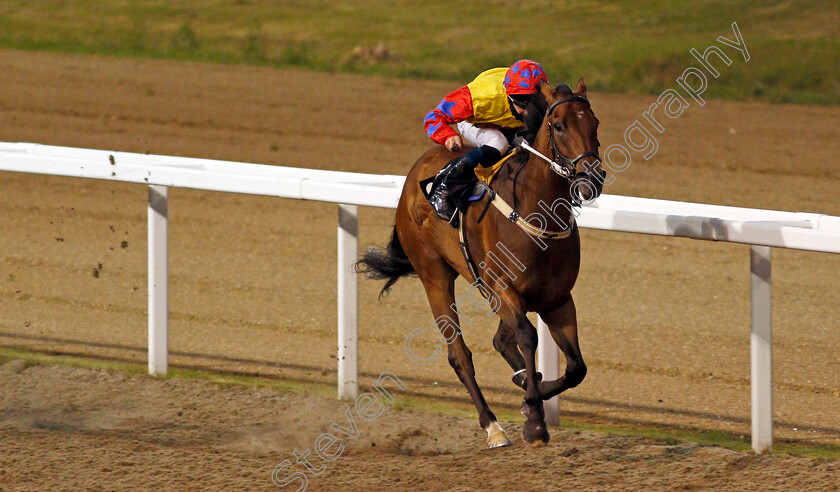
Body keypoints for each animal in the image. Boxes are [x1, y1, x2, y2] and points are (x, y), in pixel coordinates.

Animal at [358, 79, 600, 448]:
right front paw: (535, 422)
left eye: (595, 123)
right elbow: (528, 337)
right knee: (460, 355)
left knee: (501, 341)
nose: (593, 179)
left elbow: (576, 368)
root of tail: (414, 175)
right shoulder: (504, 290)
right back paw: (493, 427)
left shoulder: (557, 299)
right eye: (559, 125)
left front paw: (533, 394)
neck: (538, 213)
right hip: (435, 276)